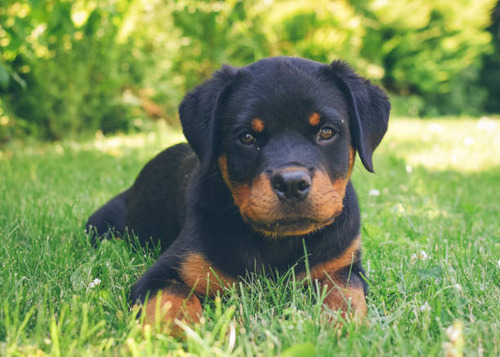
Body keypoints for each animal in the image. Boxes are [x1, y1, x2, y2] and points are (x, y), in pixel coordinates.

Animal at [86, 56, 390, 328]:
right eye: (246, 137)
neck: (277, 243)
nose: (291, 183)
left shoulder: (344, 266)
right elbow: (172, 303)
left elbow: (347, 296)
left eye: (326, 132)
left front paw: (343, 328)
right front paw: (186, 336)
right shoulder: (165, 273)